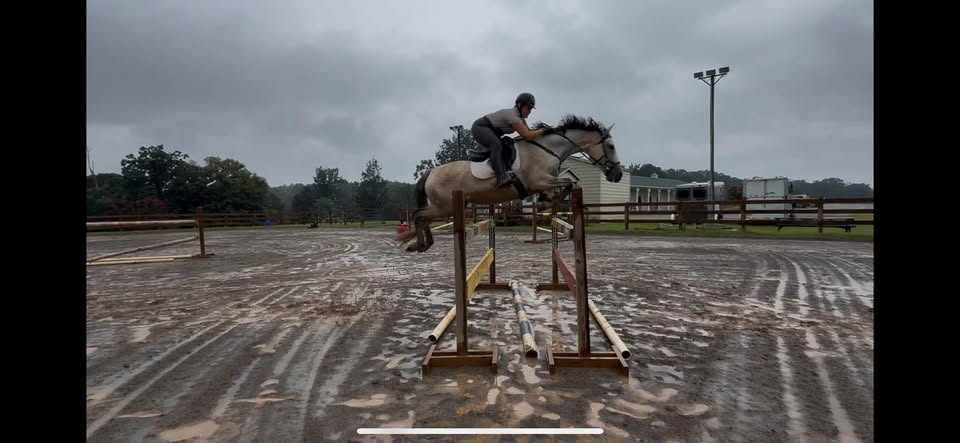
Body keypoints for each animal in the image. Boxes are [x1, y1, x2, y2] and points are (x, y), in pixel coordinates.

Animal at [397, 114, 624, 253]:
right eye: (611, 146)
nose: (618, 175)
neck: (548, 149)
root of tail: (431, 172)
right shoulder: (539, 181)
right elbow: (568, 183)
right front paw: (547, 202)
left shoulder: (545, 182)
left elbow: (567, 185)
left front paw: (546, 201)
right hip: (445, 206)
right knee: (418, 215)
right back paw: (420, 245)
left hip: (451, 206)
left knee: (421, 217)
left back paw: (420, 244)